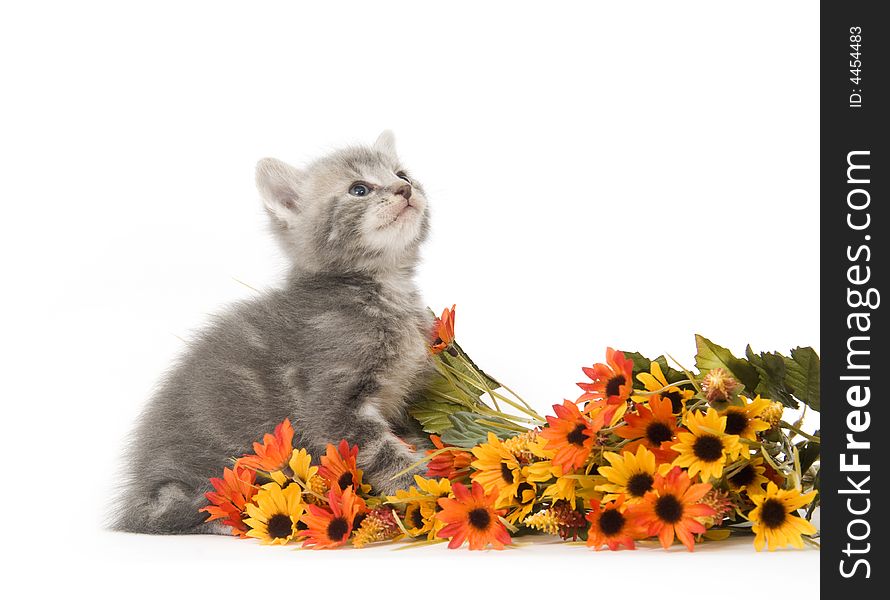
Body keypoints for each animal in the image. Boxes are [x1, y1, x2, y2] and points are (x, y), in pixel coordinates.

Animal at [111, 132, 434, 536]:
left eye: (401, 173)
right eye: (358, 189)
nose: (404, 189)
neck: (383, 286)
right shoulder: (331, 402)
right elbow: (385, 453)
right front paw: (424, 487)